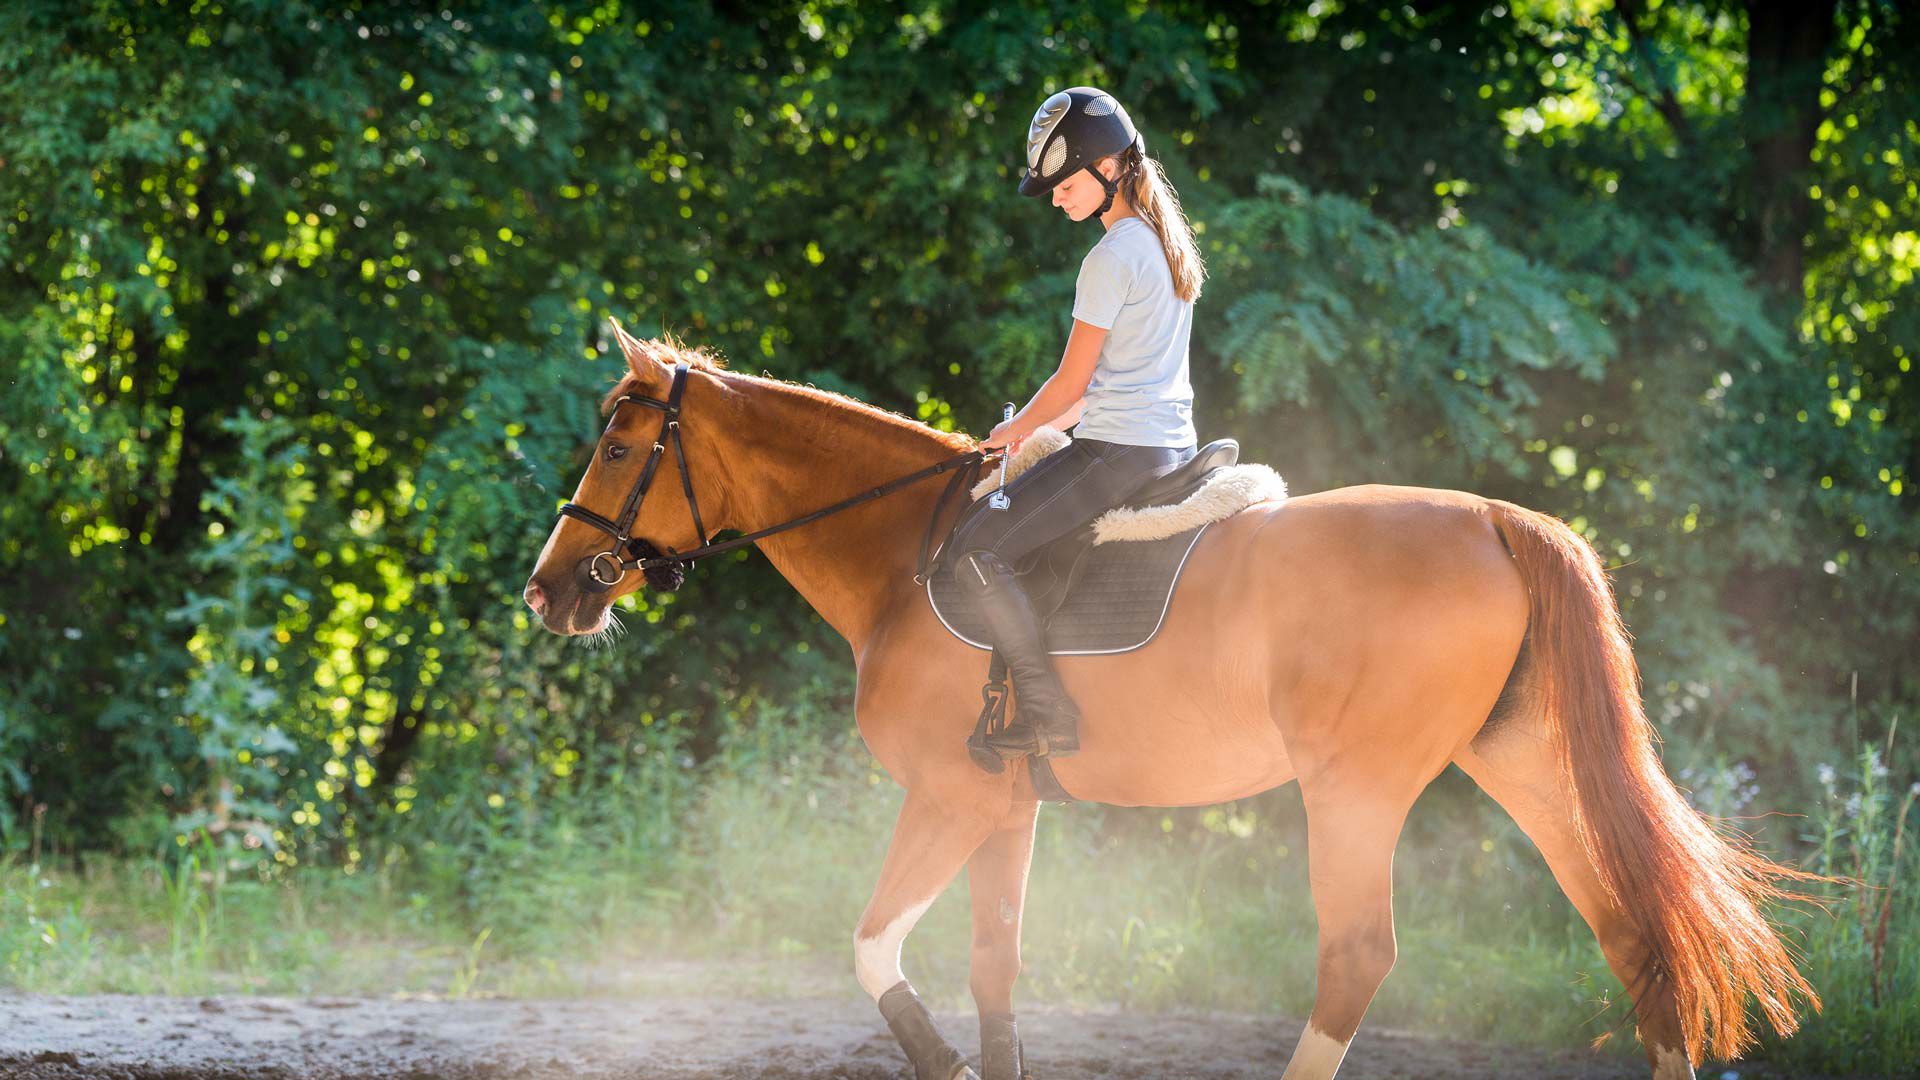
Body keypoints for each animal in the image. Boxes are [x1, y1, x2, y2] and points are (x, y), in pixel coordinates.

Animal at [526, 326, 1812, 1076]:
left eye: (618, 444)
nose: (550, 590)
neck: (905, 555)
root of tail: (1498, 518)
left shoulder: (949, 797)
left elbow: (872, 948)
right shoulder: (1007, 807)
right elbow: (995, 970)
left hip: (1357, 789)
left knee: (1355, 957)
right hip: (1529, 767)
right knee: (1636, 940)